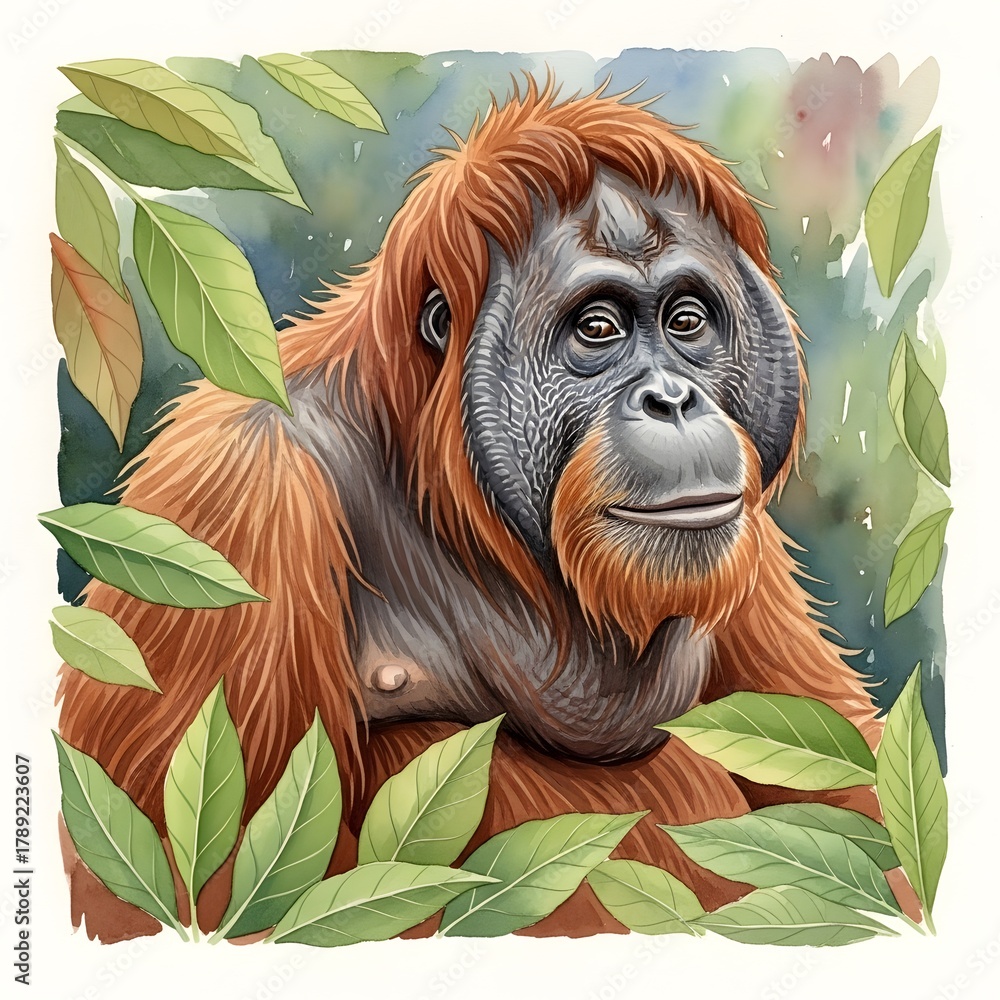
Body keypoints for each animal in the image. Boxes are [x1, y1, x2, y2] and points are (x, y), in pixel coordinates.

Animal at [57, 79, 880, 940]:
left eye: (687, 321)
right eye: (599, 329)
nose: (674, 399)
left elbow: (845, 802)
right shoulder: (239, 492)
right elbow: (188, 895)